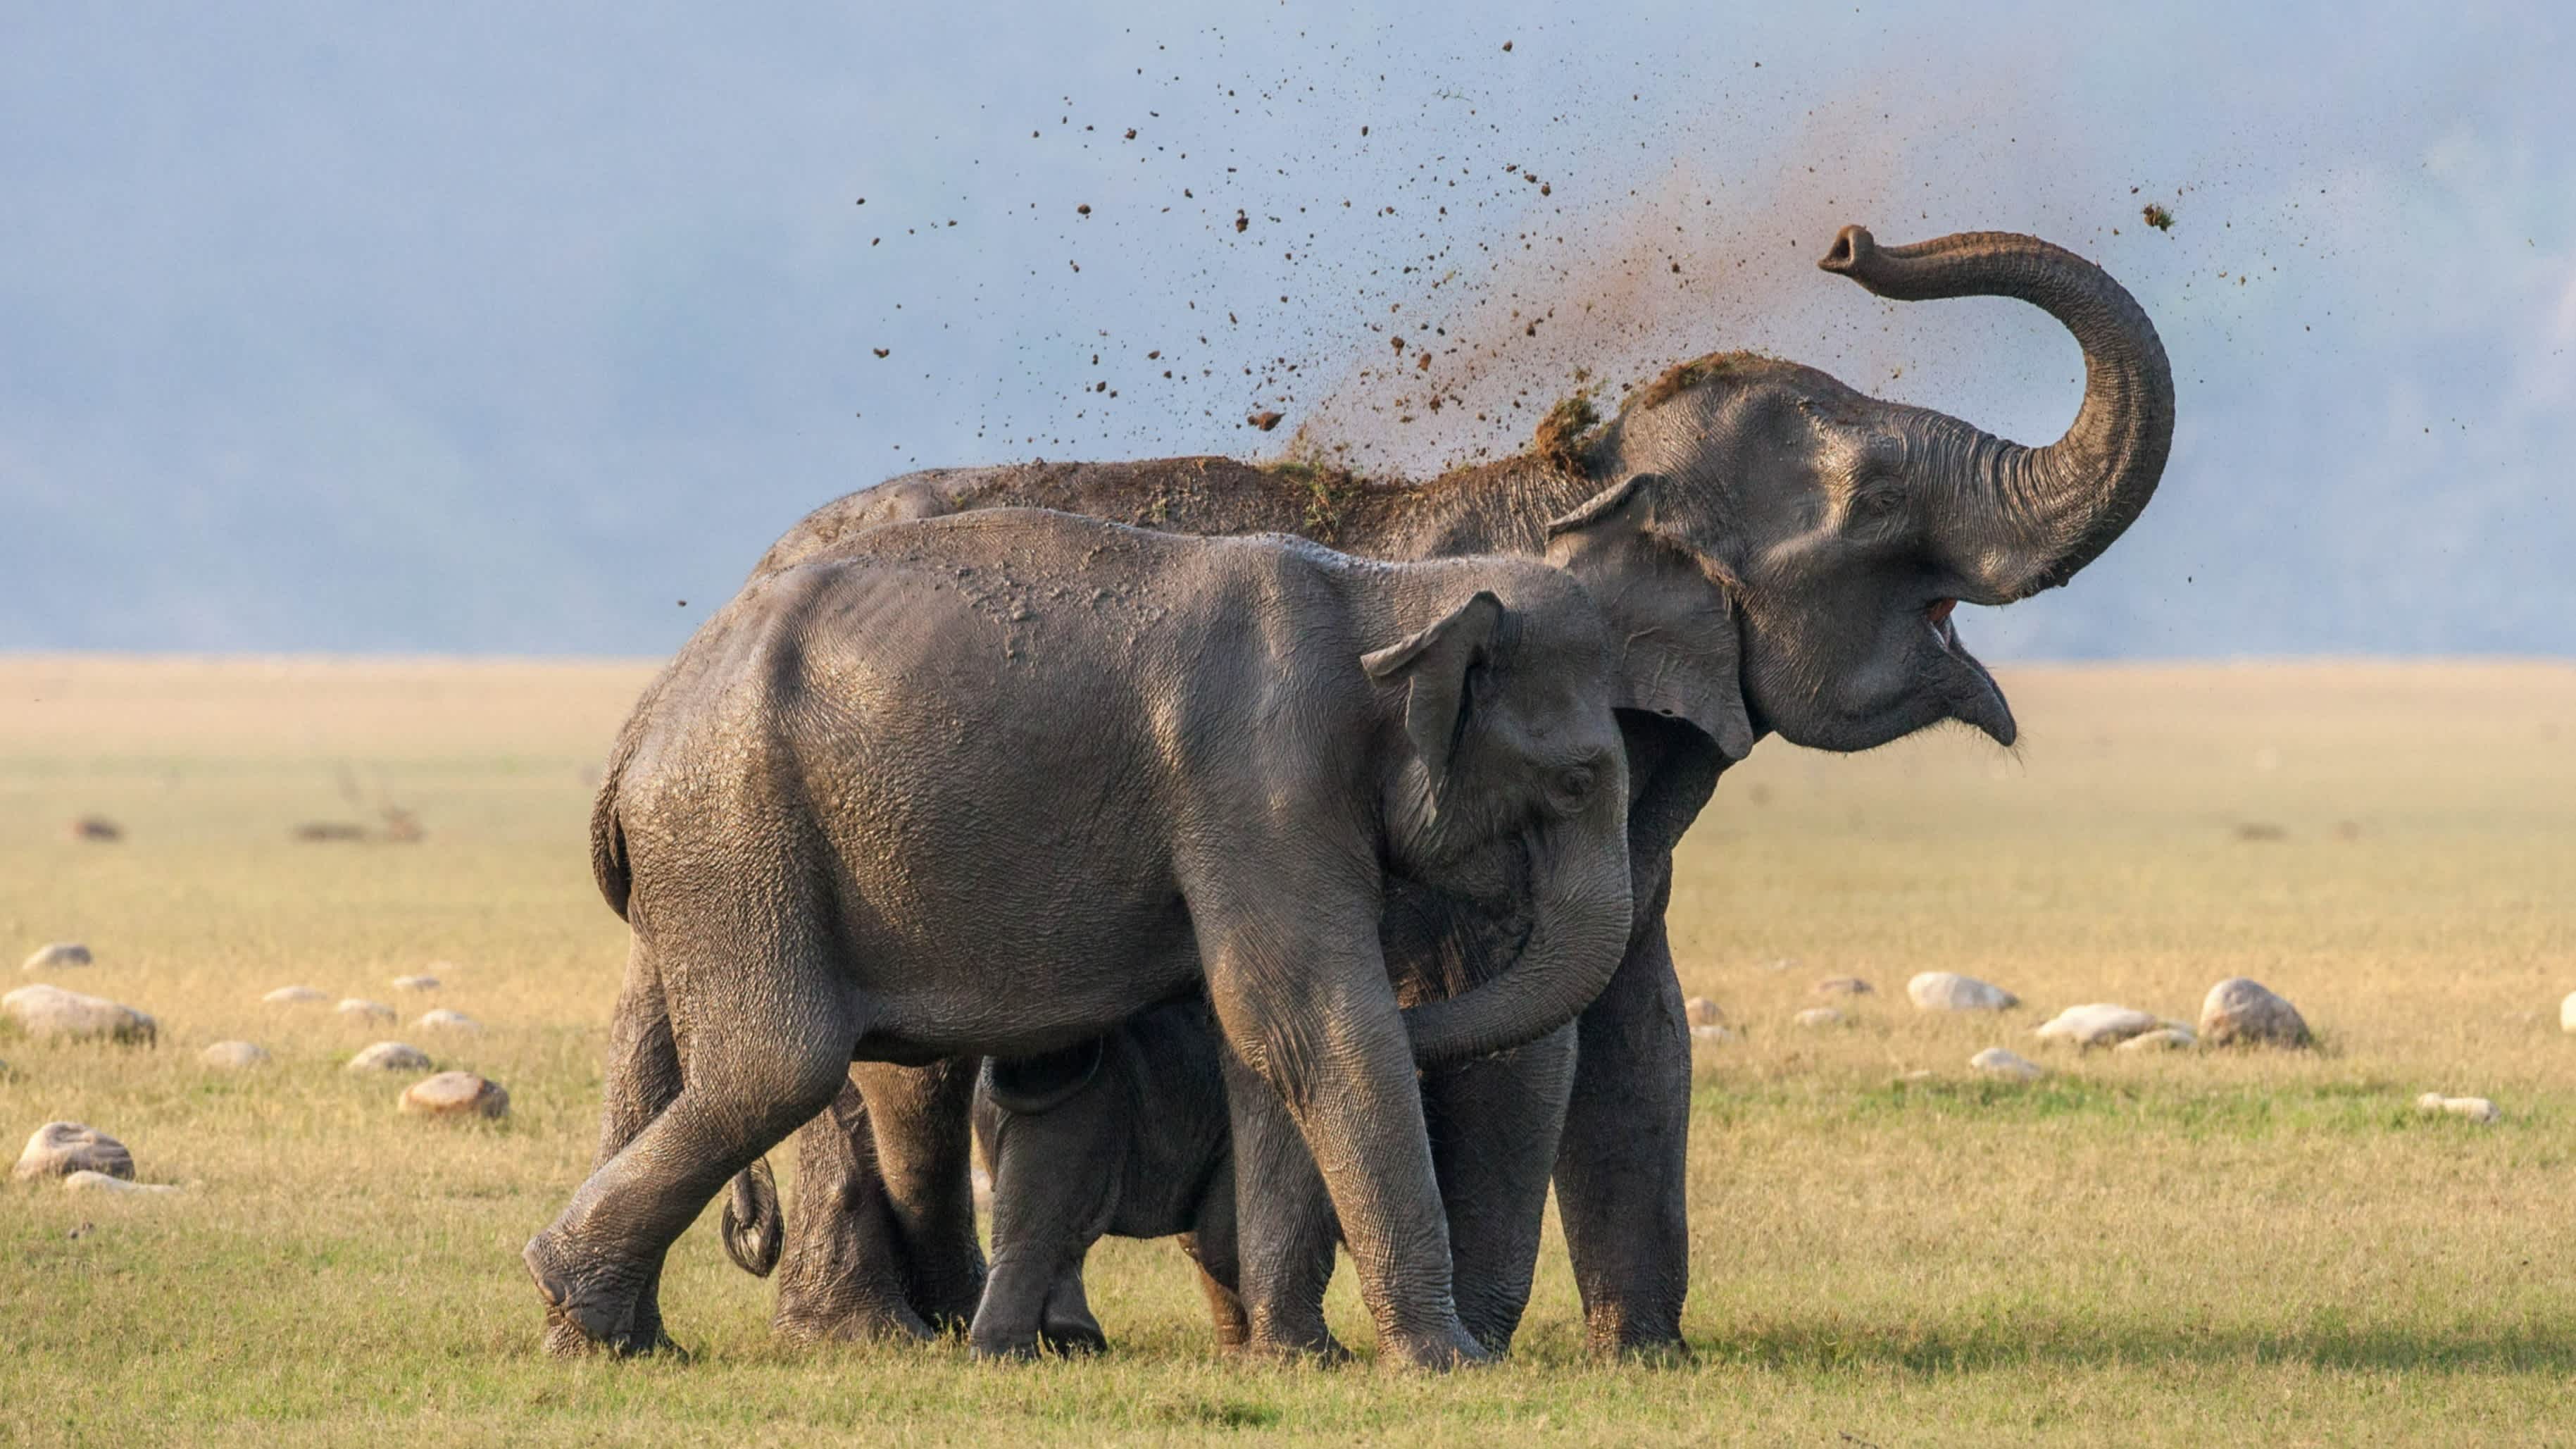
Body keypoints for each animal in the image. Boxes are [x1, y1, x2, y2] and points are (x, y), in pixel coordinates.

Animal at [530, 500, 1658, 1361]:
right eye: (1577, 780)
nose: (1470, 1348)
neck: (1390, 593)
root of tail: (641, 719)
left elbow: (1263, 1043)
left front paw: (1301, 1358)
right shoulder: (1263, 775)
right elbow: (1306, 1017)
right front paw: (1442, 1363)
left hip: (708, 856)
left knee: (679, 1053)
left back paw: (608, 1337)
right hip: (734, 832)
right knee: (778, 1065)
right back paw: (575, 1298)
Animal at [711, 223, 2174, 1350]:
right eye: (1871, 503)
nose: (1846, 243)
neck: (1578, 475)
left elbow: (1638, 1024)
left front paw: (1645, 1356)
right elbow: (1524, 1022)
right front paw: (1483, 1339)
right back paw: (879, 1336)